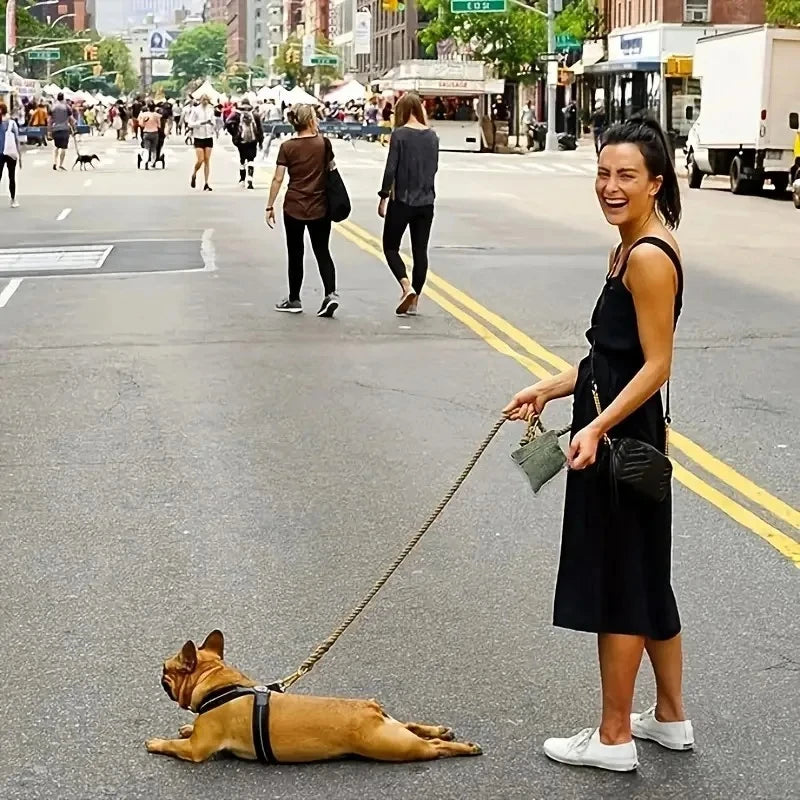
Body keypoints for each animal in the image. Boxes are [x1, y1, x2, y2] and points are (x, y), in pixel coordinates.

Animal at [148, 632, 484, 764]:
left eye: (165, 668)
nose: (158, 672)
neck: (222, 684)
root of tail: (371, 708)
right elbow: (190, 730)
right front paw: (186, 726)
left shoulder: (196, 750)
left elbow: (174, 745)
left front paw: (155, 742)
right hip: (394, 731)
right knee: (414, 726)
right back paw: (442, 730)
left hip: (395, 747)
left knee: (434, 748)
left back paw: (464, 747)